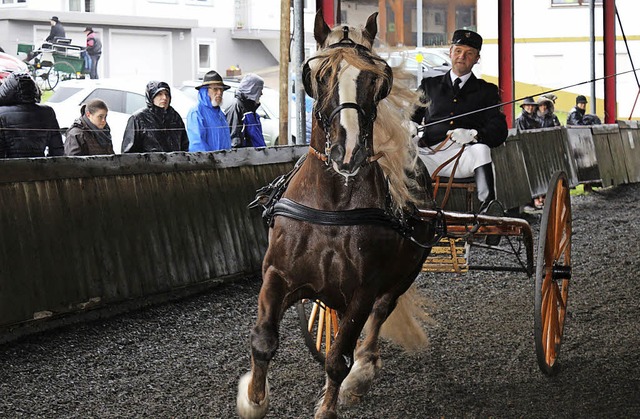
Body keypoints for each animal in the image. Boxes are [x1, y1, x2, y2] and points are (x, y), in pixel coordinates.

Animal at [238, 11, 438, 418]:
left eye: (377, 80)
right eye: (320, 74)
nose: (348, 152)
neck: (332, 207)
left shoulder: (364, 289)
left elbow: (338, 357)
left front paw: (331, 401)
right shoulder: (277, 274)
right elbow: (264, 339)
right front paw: (253, 399)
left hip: (405, 273)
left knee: (381, 312)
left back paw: (363, 371)